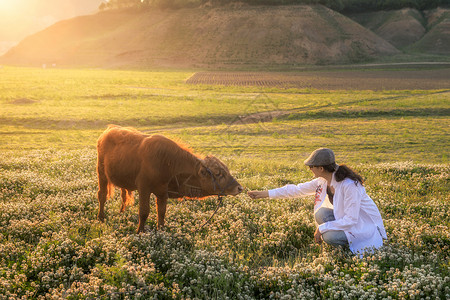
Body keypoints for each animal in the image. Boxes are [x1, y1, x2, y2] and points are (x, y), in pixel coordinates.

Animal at [95, 124, 243, 232]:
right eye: (218, 173)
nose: (239, 188)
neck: (168, 163)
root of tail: (108, 130)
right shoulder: (144, 188)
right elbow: (144, 212)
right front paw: (140, 232)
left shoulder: (162, 193)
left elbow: (161, 212)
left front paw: (161, 230)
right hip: (101, 173)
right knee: (102, 195)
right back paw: (101, 217)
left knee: (124, 195)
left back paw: (121, 212)